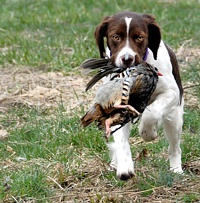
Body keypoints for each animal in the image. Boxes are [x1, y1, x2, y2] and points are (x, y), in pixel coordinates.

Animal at [94, 11, 184, 180]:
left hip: (174, 118)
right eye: (116, 36)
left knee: (174, 146)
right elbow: (121, 140)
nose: (127, 59)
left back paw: (176, 169)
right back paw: (116, 163)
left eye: (140, 37)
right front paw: (124, 167)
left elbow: (152, 113)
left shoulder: (172, 93)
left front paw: (148, 133)